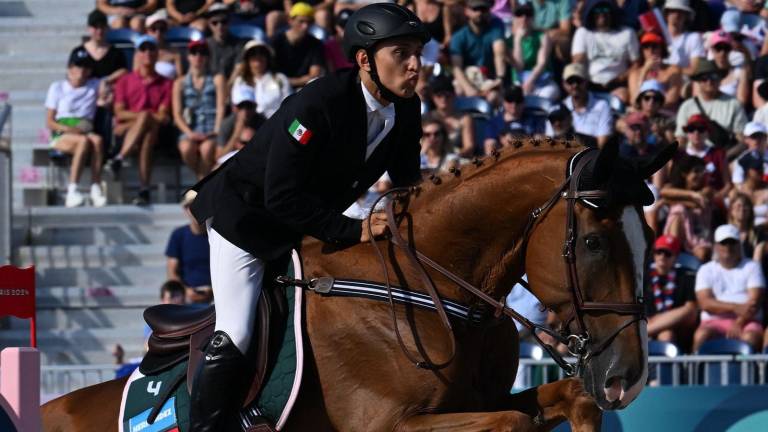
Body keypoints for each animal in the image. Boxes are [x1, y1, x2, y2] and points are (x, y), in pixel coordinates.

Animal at [40, 139, 672, 432]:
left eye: (649, 240)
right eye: (594, 243)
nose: (630, 377)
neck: (436, 290)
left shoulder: (478, 401)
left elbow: (570, 399)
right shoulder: (387, 424)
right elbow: (514, 421)